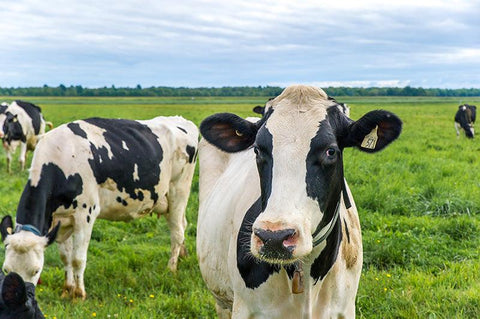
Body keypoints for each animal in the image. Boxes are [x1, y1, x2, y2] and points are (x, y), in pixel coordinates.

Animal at [0, 116, 199, 302]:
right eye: (6, 270)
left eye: (36, 270)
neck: (60, 158)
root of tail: (181, 120)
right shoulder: (59, 219)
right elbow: (65, 257)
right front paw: (67, 289)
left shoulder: (85, 214)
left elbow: (77, 259)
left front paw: (79, 294)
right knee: (182, 225)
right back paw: (183, 256)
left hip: (179, 191)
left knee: (177, 232)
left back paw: (171, 268)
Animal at [195, 85, 402, 319]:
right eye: (257, 150)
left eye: (330, 151)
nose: (273, 238)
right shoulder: (244, 308)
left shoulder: (345, 308)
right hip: (222, 299)